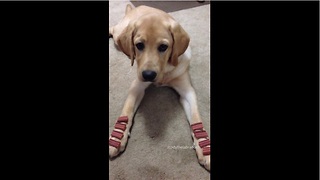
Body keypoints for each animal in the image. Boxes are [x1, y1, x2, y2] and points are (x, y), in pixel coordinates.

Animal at [110, 3, 210, 170]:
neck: (165, 71)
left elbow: (196, 119)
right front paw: (117, 138)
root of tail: (137, 7)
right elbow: (127, 111)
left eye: (163, 47)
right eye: (139, 45)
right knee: (112, 29)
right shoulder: (137, 85)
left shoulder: (187, 91)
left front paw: (204, 147)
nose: (148, 75)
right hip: (119, 33)